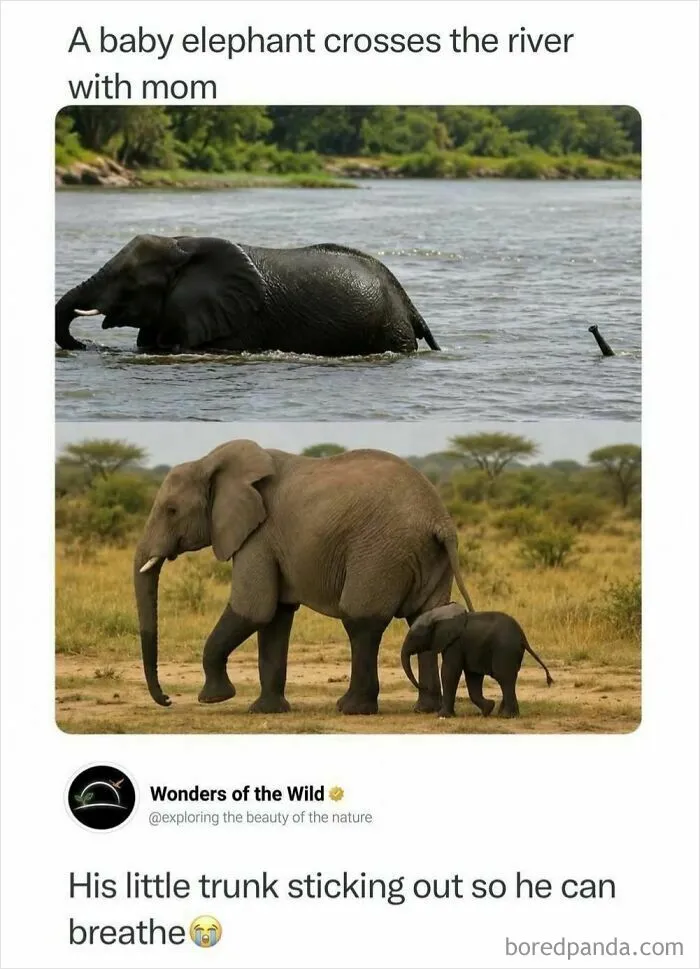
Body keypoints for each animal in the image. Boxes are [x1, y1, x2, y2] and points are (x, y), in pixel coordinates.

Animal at [55, 235, 440, 356]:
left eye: (129, 280)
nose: (86, 346)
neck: (181, 244)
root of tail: (407, 302)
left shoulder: (239, 323)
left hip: (390, 329)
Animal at [134, 440, 474, 715]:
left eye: (171, 510)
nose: (167, 699)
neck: (208, 462)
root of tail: (439, 519)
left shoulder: (258, 536)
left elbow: (253, 610)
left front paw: (215, 698)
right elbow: (275, 617)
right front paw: (266, 710)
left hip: (380, 552)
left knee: (360, 620)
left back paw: (351, 708)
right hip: (427, 555)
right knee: (424, 617)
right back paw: (425, 709)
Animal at [400, 603, 553, 718]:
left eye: (415, 636)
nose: (424, 687)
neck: (438, 614)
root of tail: (523, 637)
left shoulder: (455, 643)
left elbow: (449, 671)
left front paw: (442, 716)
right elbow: (473, 676)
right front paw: (488, 709)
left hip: (505, 650)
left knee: (504, 678)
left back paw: (507, 716)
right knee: (508, 679)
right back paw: (504, 713)